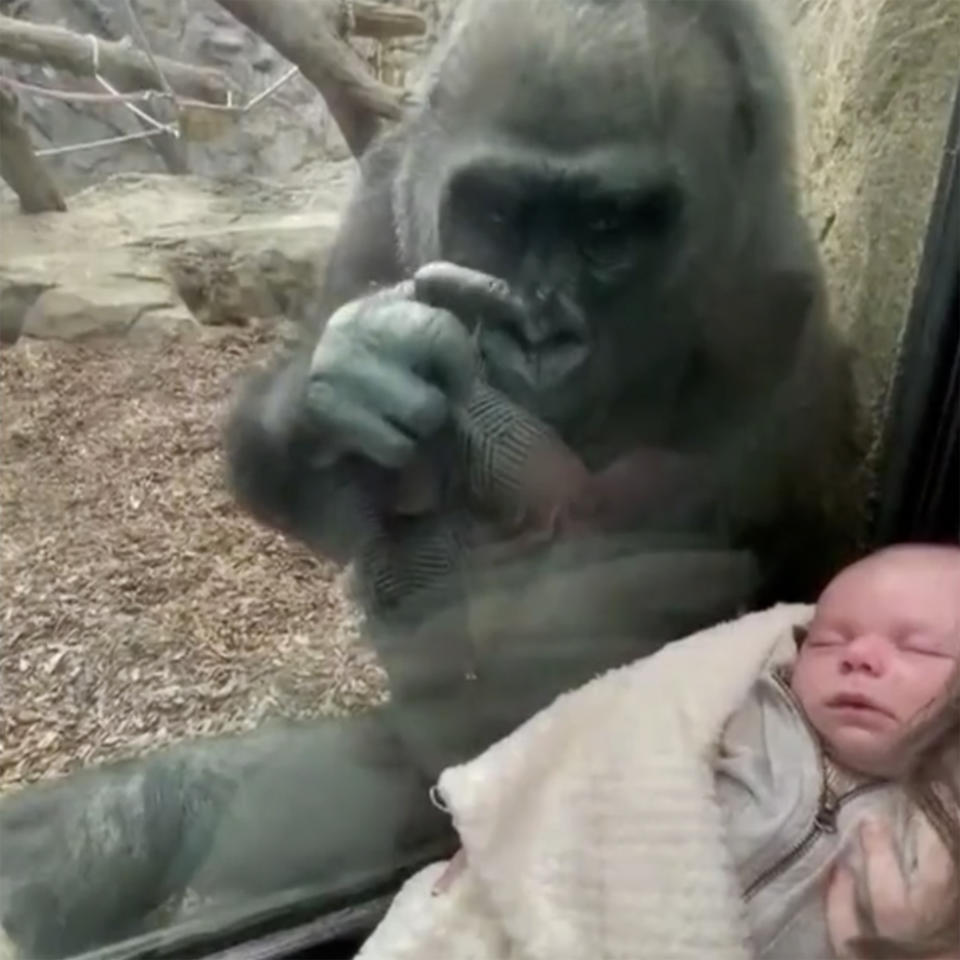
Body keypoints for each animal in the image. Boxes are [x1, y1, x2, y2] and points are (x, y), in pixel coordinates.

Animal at [0, 1, 868, 960]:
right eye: (496, 211)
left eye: (608, 229)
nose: (536, 332)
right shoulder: (385, 192)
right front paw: (359, 379)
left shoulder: (774, 307)